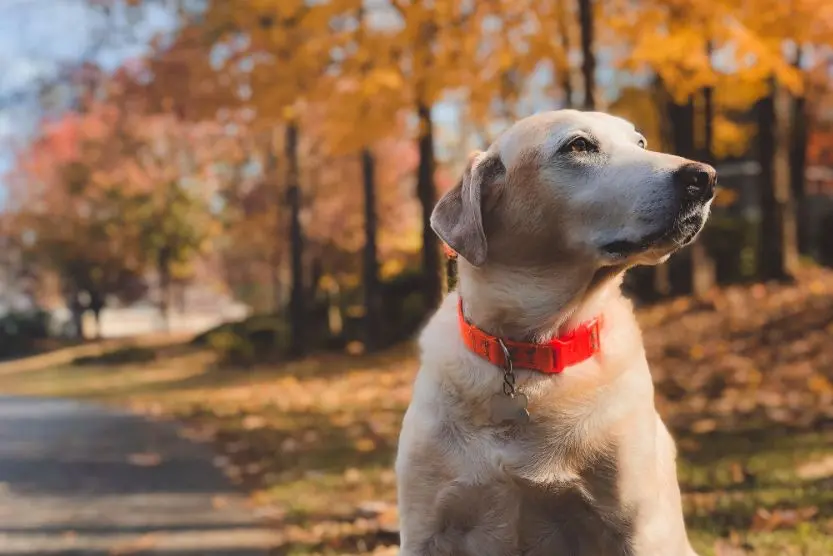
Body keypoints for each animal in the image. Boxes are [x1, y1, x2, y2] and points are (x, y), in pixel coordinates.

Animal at [394, 109, 712, 556]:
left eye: (641, 143)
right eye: (578, 145)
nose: (706, 177)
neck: (527, 349)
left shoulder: (638, 527)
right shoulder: (426, 528)